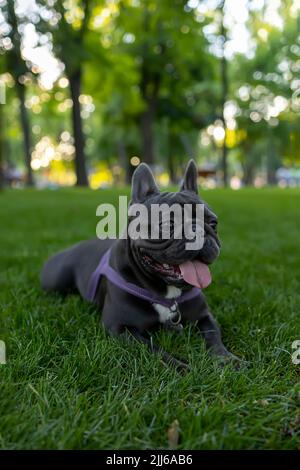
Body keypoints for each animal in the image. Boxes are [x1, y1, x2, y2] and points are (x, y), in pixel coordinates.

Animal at [41, 160, 240, 372]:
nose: (198, 230)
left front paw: (228, 360)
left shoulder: (204, 317)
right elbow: (154, 349)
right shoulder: (121, 327)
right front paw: (181, 368)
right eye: (167, 224)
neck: (167, 295)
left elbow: (214, 337)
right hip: (57, 280)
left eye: (213, 223)